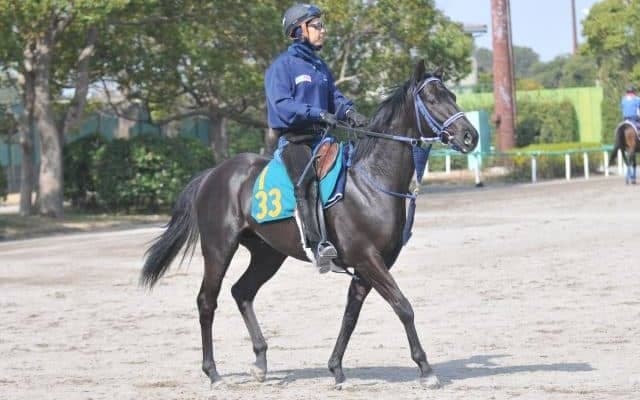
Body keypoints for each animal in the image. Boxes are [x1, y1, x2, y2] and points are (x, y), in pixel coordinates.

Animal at [140, 59, 479, 389]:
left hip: (268, 254)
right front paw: (426, 369)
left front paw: (337, 370)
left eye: (453, 95)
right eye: (432, 98)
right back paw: (213, 374)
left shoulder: (369, 266)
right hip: (218, 249)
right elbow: (403, 306)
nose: (469, 136)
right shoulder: (368, 259)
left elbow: (351, 315)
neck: (370, 182)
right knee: (206, 301)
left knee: (242, 292)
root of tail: (212, 174)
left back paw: (260, 364)